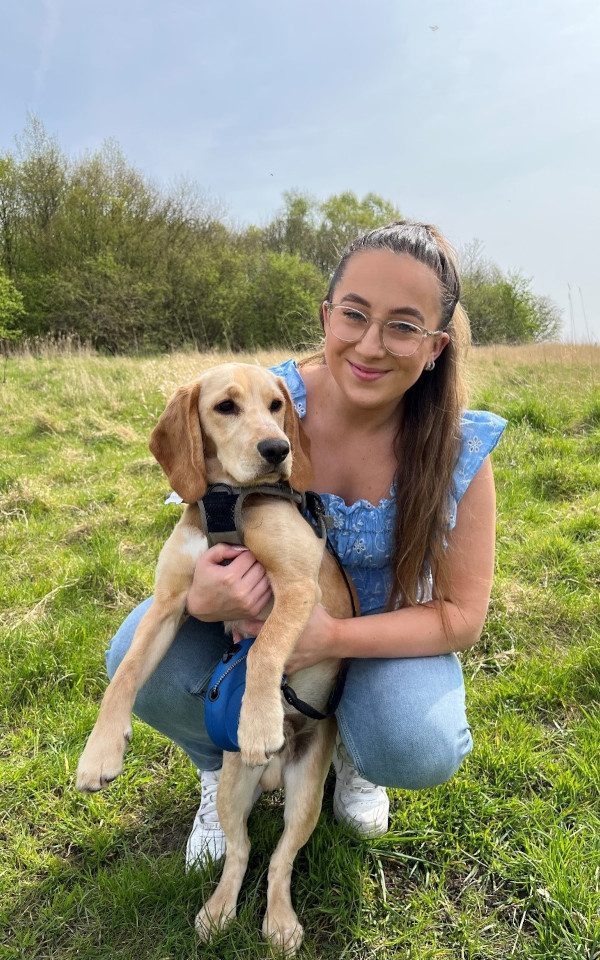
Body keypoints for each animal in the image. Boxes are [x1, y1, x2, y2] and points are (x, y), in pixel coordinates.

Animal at [77, 364, 354, 956]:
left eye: (277, 406)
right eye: (225, 407)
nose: (277, 450)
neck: (228, 501)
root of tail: (273, 774)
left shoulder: (297, 588)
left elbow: (265, 648)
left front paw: (257, 721)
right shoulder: (170, 602)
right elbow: (125, 675)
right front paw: (98, 756)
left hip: (306, 796)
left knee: (280, 859)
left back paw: (280, 923)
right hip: (231, 791)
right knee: (242, 849)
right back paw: (218, 910)